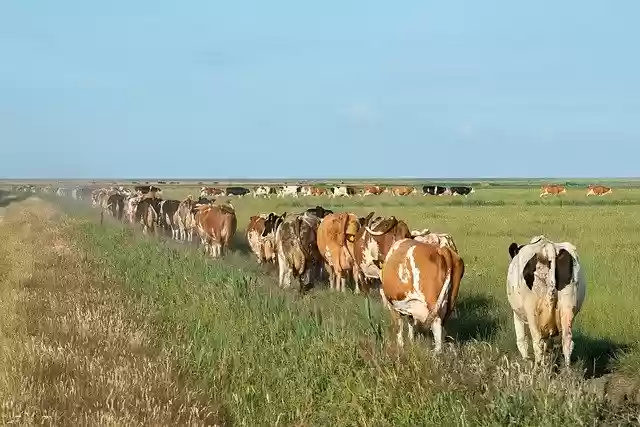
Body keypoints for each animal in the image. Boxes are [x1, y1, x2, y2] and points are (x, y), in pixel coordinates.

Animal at [507, 235, 585, 366]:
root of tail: (549, 247)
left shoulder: (517, 315)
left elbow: (522, 340)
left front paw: (525, 362)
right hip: (567, 307)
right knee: (567, 341)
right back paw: (566, 369)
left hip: (532, 311)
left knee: (537, 342)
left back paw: (537, 369)